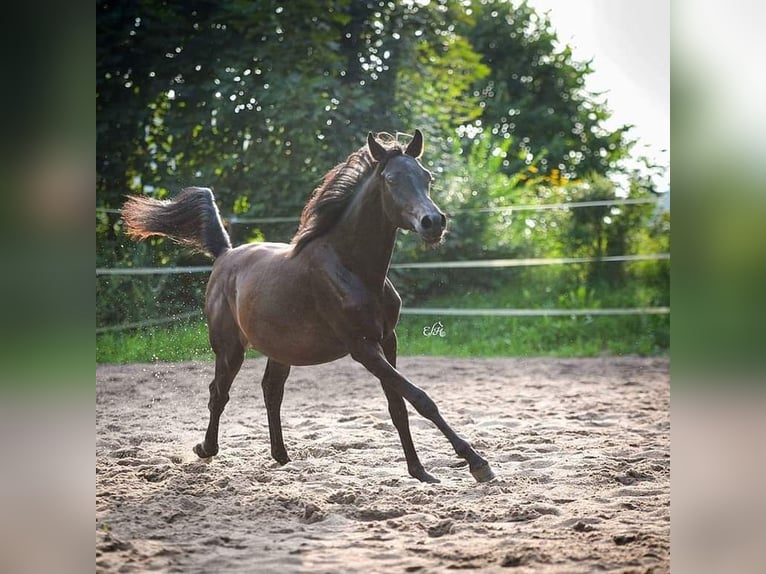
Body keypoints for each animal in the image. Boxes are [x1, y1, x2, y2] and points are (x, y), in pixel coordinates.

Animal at [123, 128, 496, 484]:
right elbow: (420, 399)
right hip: (229, 348)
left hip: (280, 349)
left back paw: (281, 456)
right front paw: (478, 464)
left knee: (271, 391)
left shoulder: (388, 340)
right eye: (391, 179)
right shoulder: (362, 347)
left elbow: (397, 406)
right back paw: (206, 448)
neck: (353, 268)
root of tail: (225, 254)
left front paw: (420, 471)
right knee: (219, 392)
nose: (433, 222)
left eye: (427, 176)